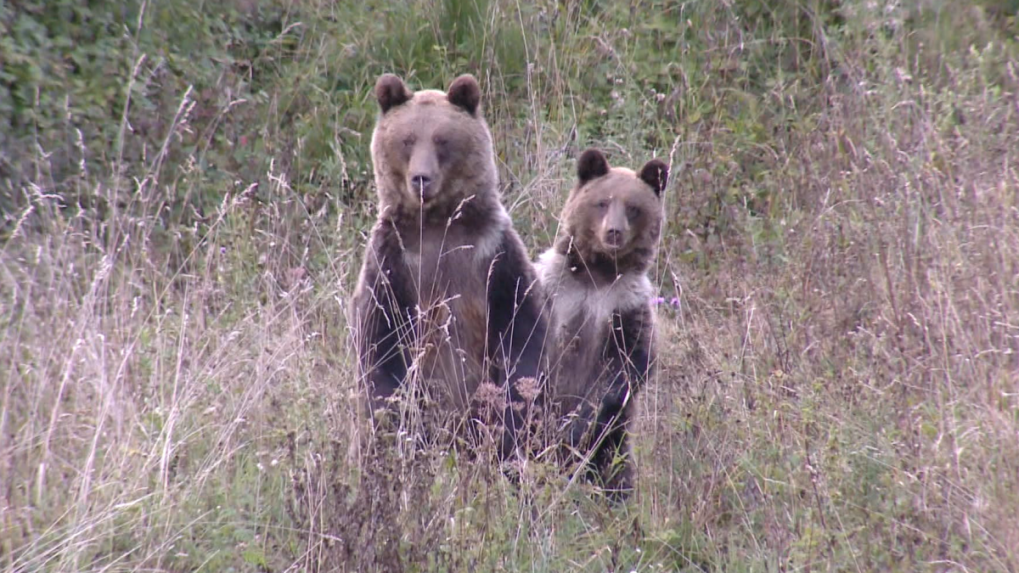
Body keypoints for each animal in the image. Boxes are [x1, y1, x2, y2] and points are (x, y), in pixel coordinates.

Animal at [533, 146, 668, 495]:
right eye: (603, 202)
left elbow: (626, 366)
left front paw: (577, 422)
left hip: (616, 436)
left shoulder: (628, 305)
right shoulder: (555, 290)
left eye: (633, 207)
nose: (614, 232)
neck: (599, 272)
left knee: (615, 469)